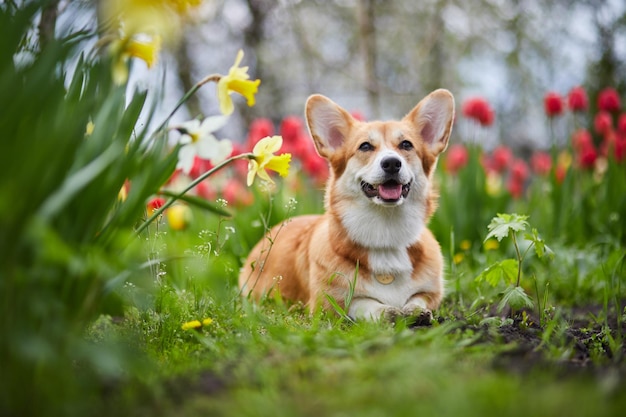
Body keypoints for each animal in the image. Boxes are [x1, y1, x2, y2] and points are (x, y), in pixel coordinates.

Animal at [239, 89, 454, 320]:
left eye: (406, 144)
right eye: (365, 146)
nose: (391, 163)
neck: (386, 233)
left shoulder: (432, 293)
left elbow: (417, 299)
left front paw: (416, 311)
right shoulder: (327, 303)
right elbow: (364, 303)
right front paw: (387, 311)